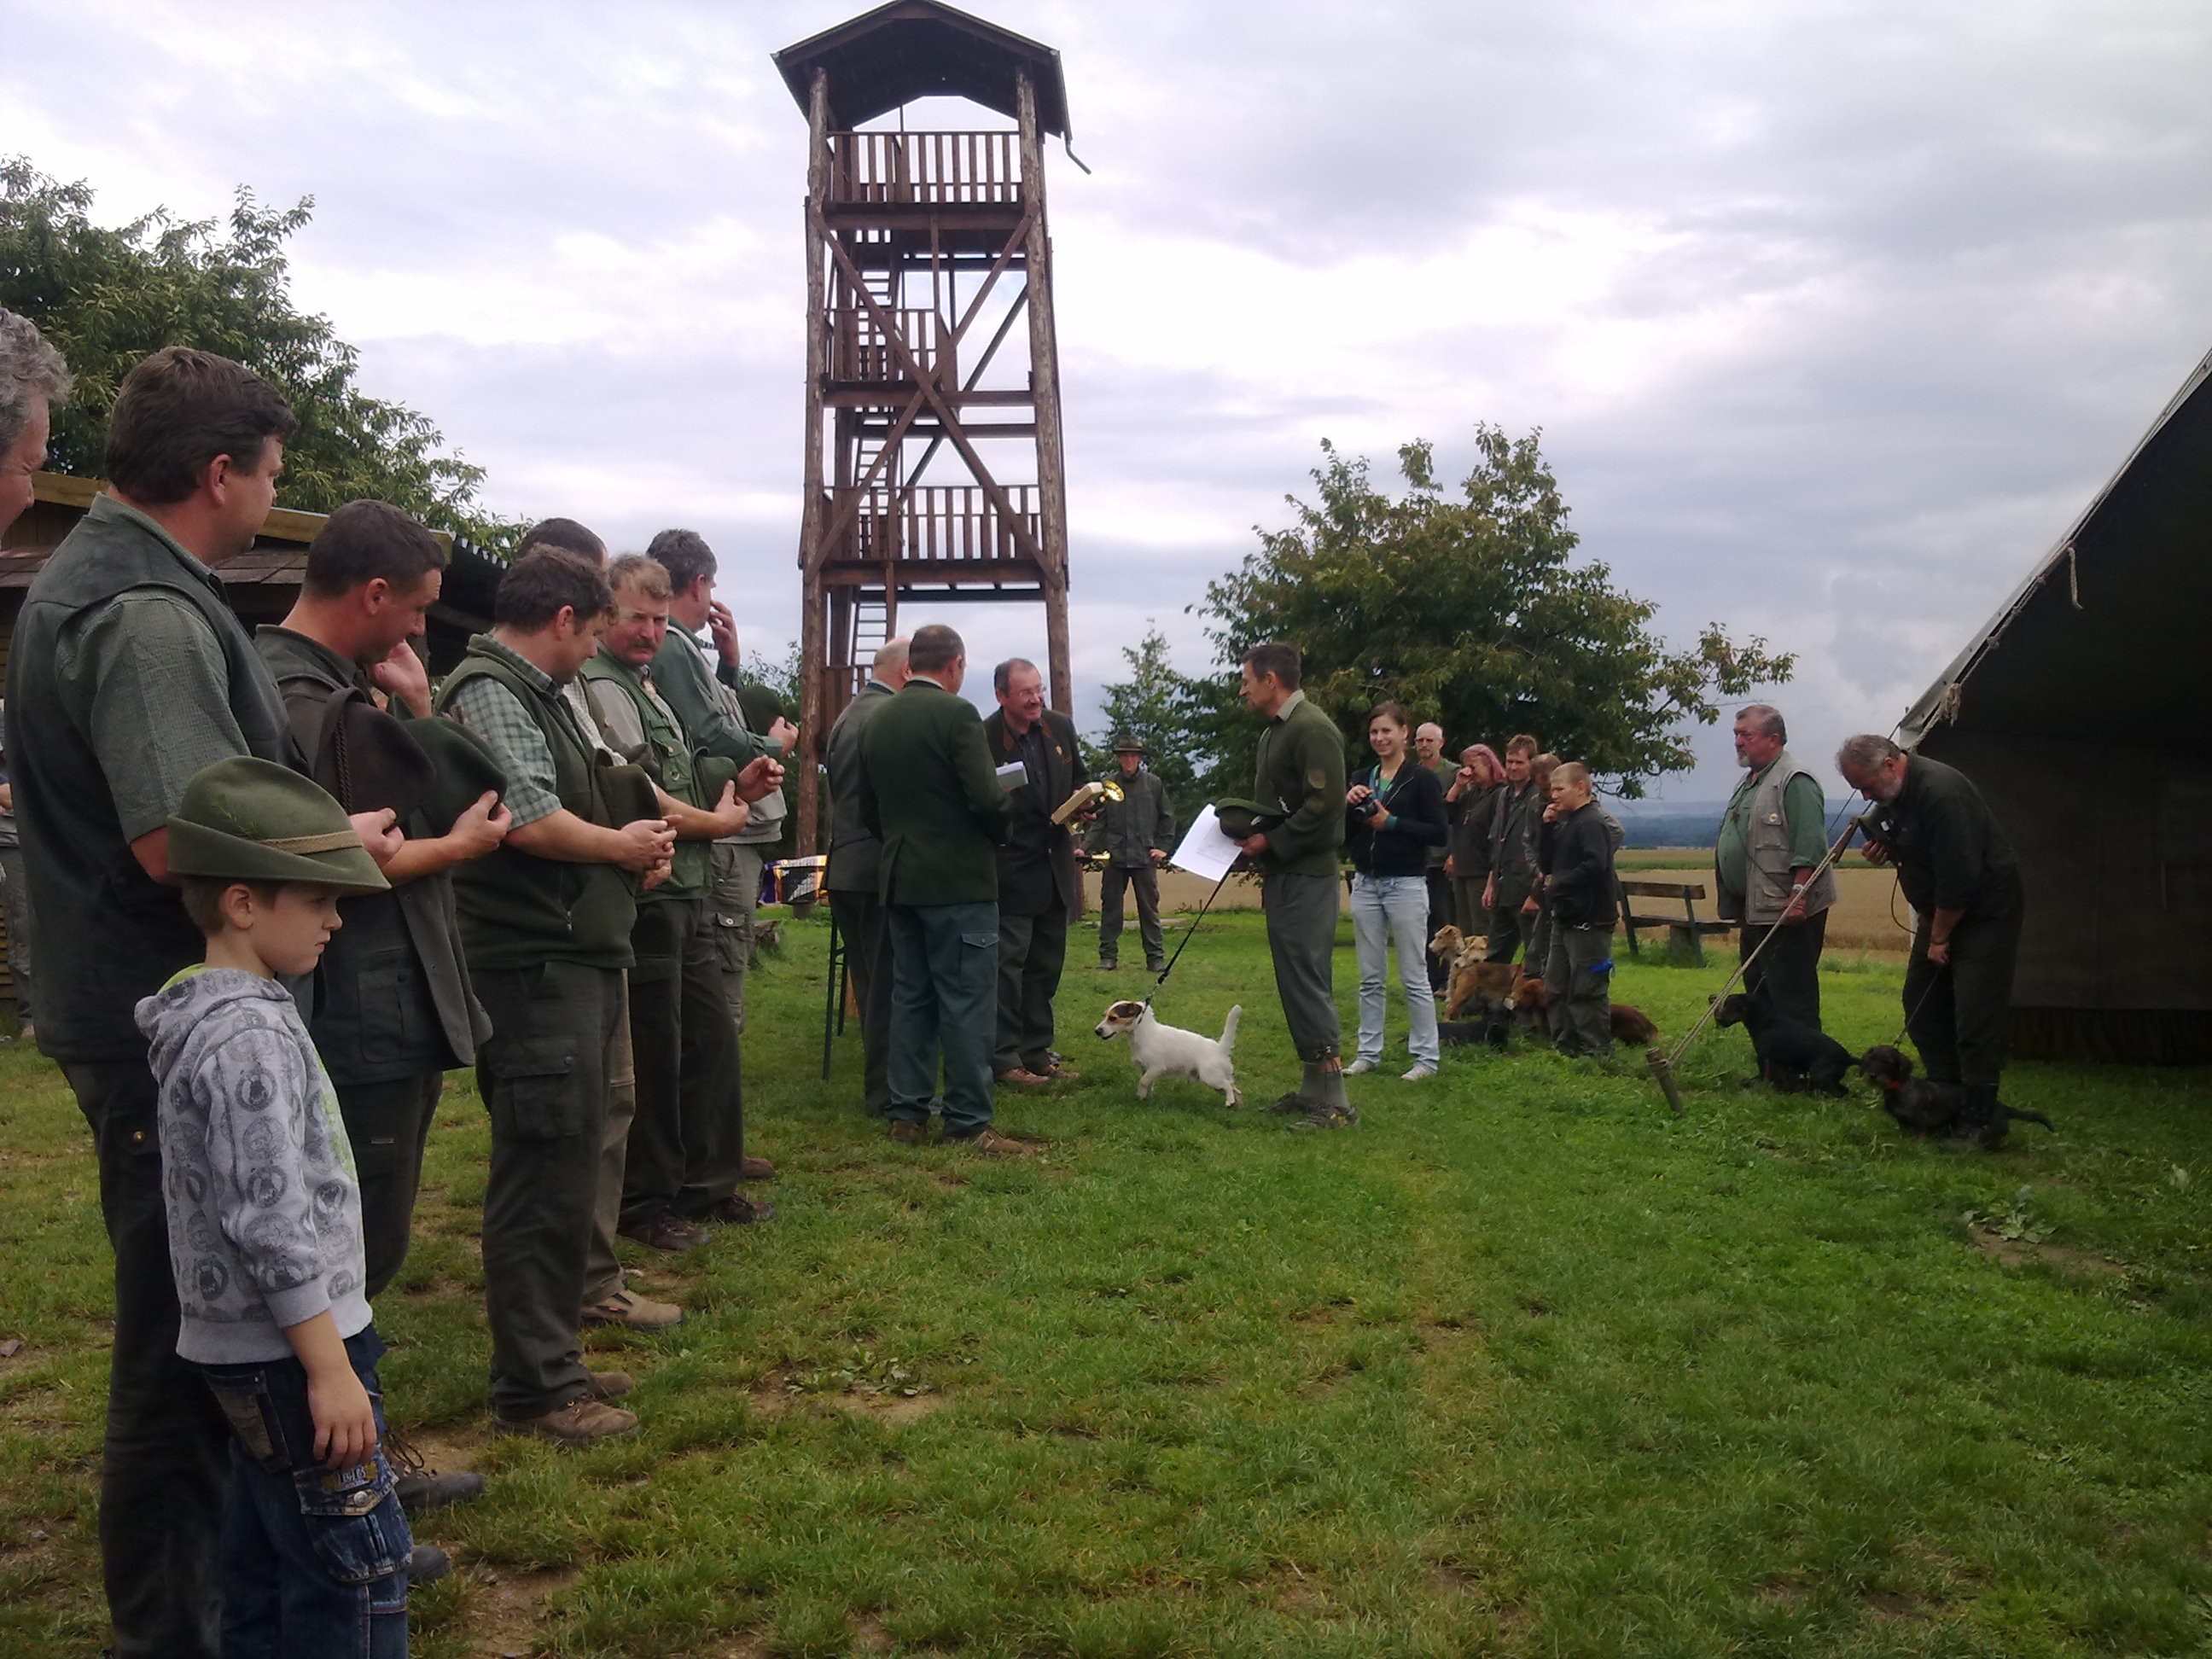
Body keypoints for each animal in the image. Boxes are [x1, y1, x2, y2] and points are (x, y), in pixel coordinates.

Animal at [1716, 995, 1858, 1097]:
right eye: (1725, 1004)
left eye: (1735, 1006)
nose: (1718, 1018)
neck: (1766, 1021)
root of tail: (1848, 1058)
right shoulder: (1781, 1063)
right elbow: (1782, 1079)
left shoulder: (1764, 1057)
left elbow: (1764, 1076)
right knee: (1843, 1091)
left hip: (1818, 1074)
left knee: (1836, 1093)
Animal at [1848, 1044, 2052, 1150]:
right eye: (1870, 1060)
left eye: (1888, 1062)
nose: (1872, 1076)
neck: (1899, 1087)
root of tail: (2002, 1107)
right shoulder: (1902, 1121)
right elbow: (1903, 1130)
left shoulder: (1920, 1119)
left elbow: (1920, 1134)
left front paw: (1918, 1145)